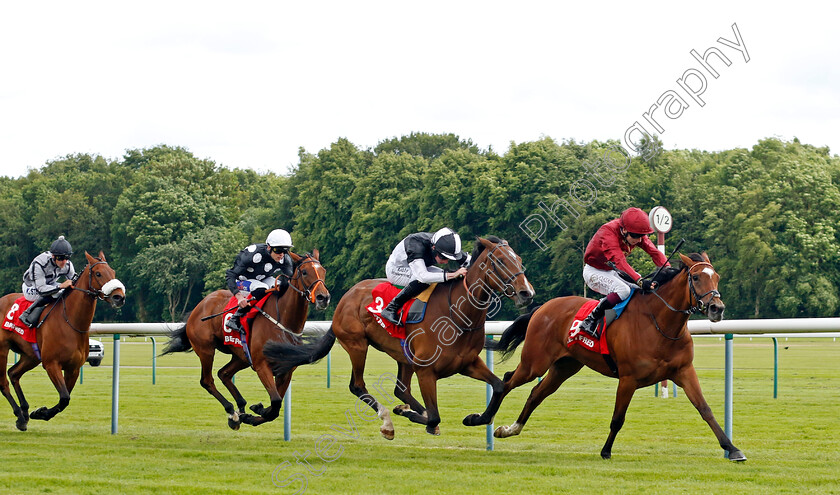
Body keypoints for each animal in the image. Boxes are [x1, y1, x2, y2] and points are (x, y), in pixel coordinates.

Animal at [0, 252, 126, 430]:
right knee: (3, 382)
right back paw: (19, 414)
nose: (119, 297)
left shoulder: (73, 368)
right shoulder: (51, 364)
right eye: (98, 273)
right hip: (2, 349)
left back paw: (24, 413)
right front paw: (40, 412)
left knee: (13, 373)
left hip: (31, 356)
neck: (71, 322)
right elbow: (65, 397)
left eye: (113, 272)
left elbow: (65, 400)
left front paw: (39, 413)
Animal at [162, 252, 330, 430]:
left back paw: (240, 408)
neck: (283, 321)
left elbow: (274, 408)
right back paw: (232, 412)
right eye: (304, 272)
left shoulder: (286, 370)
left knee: (224, 374)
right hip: (206, 350)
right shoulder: (262, 365)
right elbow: (275, 402)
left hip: (241, 356)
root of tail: (199, 306)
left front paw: (254, 412)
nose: (323, 297)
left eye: (323, 271)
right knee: (207, 380)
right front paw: (254, 411)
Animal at [266, 238, 536, 440]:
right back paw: (388, 422)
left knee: (400, 390)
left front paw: (475, 418)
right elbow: (435, 415)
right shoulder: (426, 371)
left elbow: (499, 386)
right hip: (357, 344)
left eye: (519, 259)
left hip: (403, 356)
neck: (458, 314)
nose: (526, 293)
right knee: (358, 385)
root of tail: (345, 297)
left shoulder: (468, 363)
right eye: (500, 261)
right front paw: (417, 418)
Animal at [466, 254, 748, 464]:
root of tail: (541, 308)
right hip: (534, 362)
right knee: (507, 381)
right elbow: (617, 418)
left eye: (717, 277)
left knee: (536, 394)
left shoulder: (684, 371)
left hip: (564, 367)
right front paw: (606, 451)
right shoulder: (628, 379)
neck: (661, 324)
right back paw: (481, 418)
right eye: (697, 277)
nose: (717, 308)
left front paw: (732, 449)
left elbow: (705, 410)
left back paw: (510, 429)